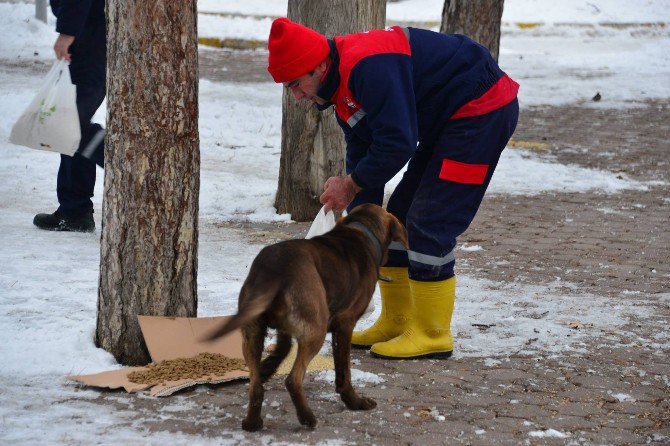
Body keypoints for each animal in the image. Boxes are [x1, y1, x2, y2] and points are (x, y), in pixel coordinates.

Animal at [202, 204, 406, 430]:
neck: (362, 231)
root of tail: (275, 268)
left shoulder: (284, 328)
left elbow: (282, 349)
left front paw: (268, 367)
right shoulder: (345, 324)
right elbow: (343, 371)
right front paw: (354, 401)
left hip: (252, 332)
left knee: (255, 386)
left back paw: (253, 421)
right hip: (316, 331)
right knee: (293, 379)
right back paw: (307, 417)